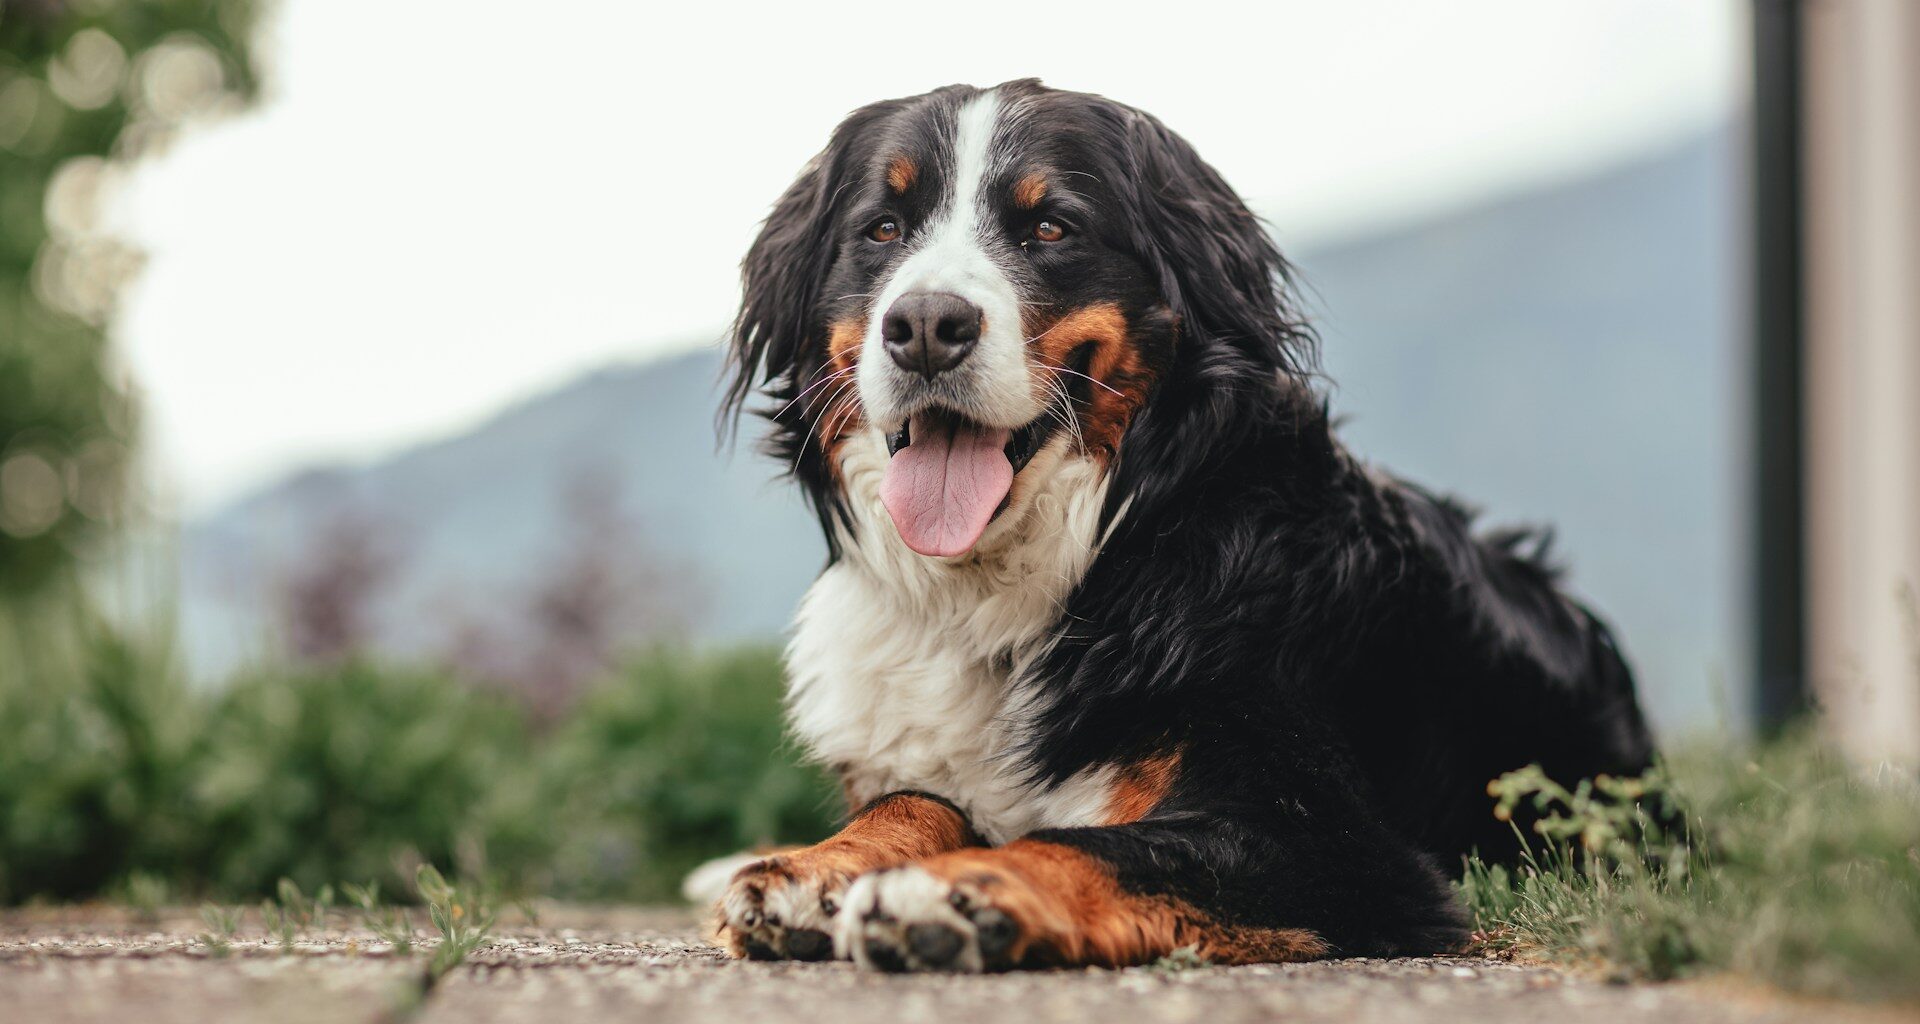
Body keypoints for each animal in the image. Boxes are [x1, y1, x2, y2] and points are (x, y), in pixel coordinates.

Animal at [714, 79, 1658, 975]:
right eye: (882, 228)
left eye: (1051, 227)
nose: (923, 327)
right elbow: (914, 798)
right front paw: (813, 869)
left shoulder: (1335, 843)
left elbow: (1088, 843)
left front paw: (948, 893)